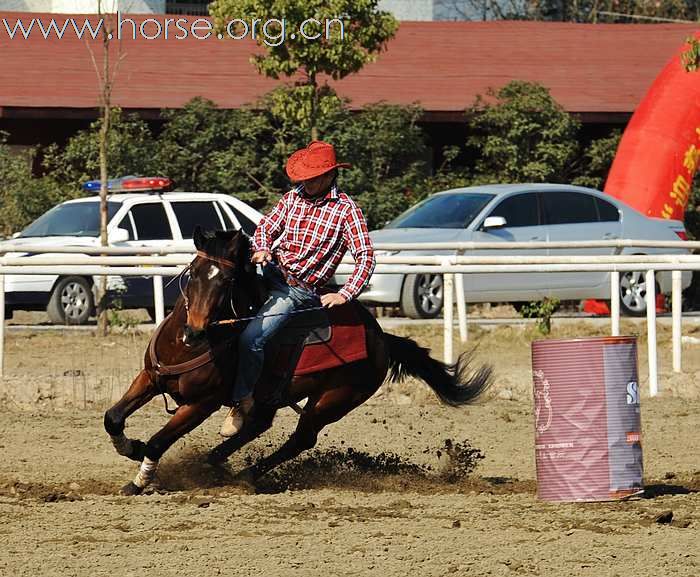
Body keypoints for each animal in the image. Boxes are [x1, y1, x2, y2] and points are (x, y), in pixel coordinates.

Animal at [104, 227, 492, 492]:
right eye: (194, 271)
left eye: (227, 280)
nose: (194, 332)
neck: (191, 347)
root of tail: (381, 337)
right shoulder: (149, 377)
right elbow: (113, 418)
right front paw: (131, 447)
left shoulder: (202, 404)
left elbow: (160, 440)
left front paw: (138, 480)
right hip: (275, 396)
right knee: (257, 424)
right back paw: (216, 461)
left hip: (334, 400)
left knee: (301, 439)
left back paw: (245, 474)